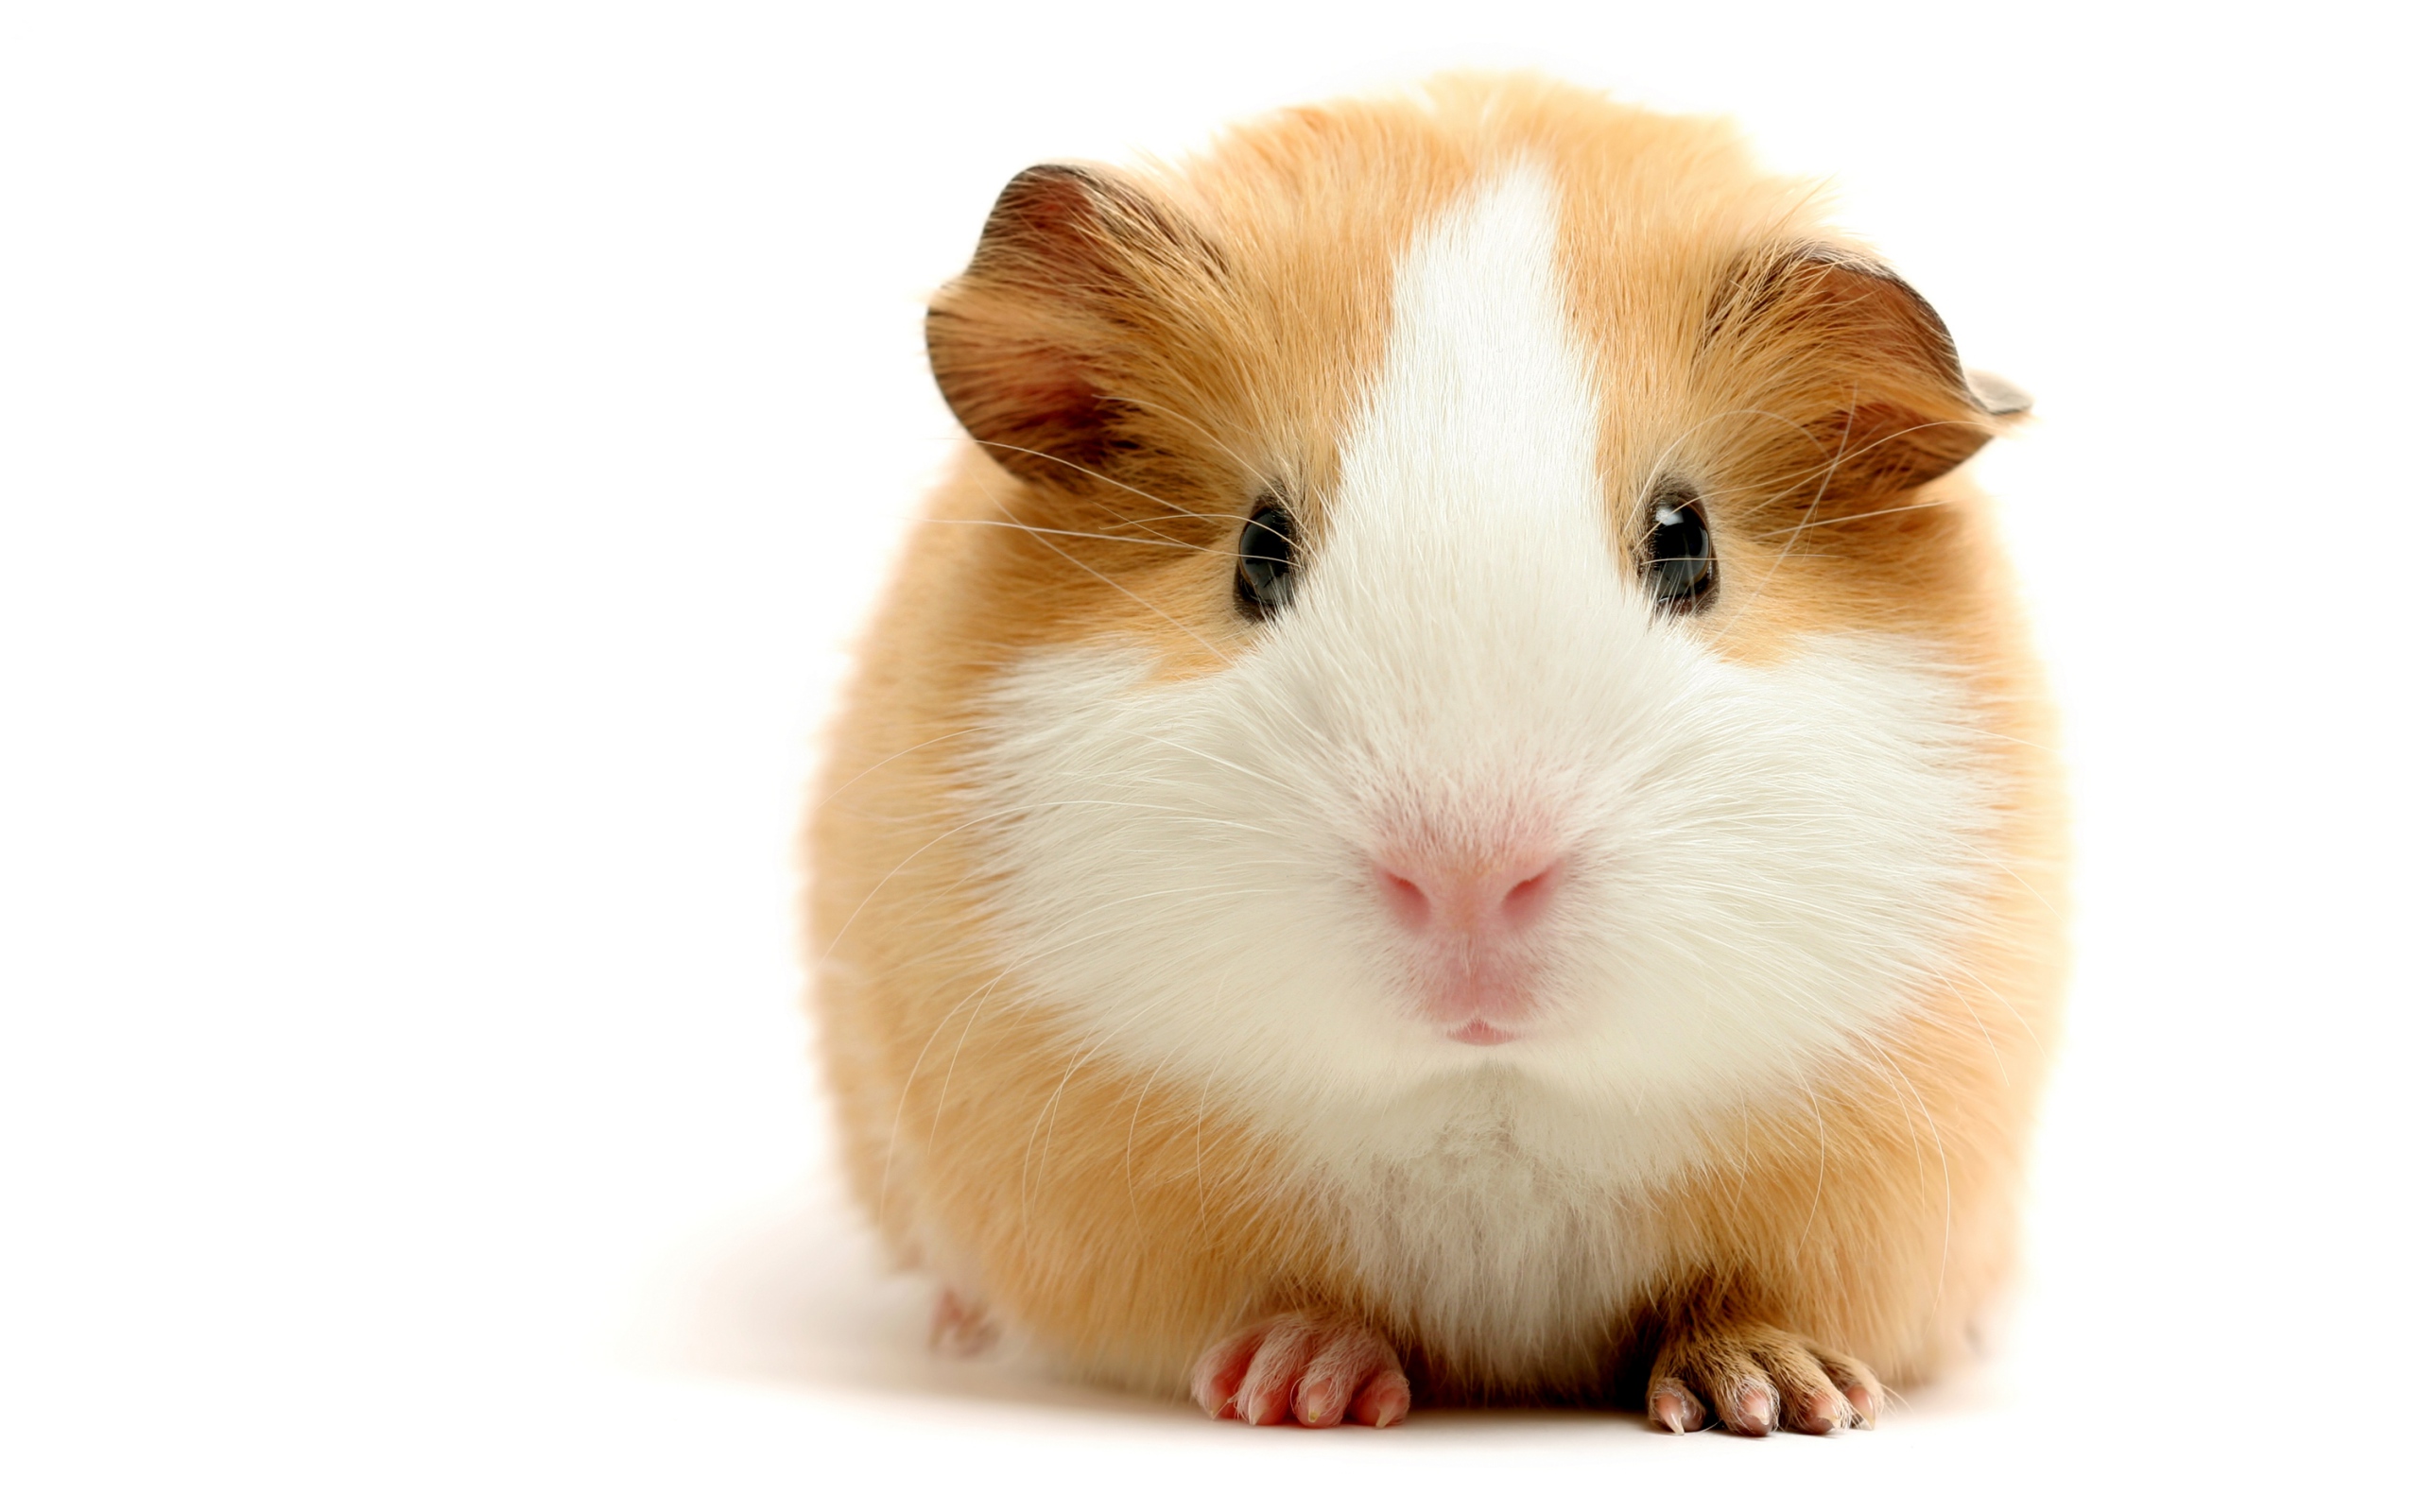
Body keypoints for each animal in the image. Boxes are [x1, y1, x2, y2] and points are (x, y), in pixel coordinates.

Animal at [807, 74, 2065, 1436]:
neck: (1487, 1103)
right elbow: (1273, 1304)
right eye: (1258, 551)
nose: (1469, 879)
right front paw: (1297, 1387)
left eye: (1688, 544)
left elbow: (1743, 1299)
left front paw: (1786, 1400)